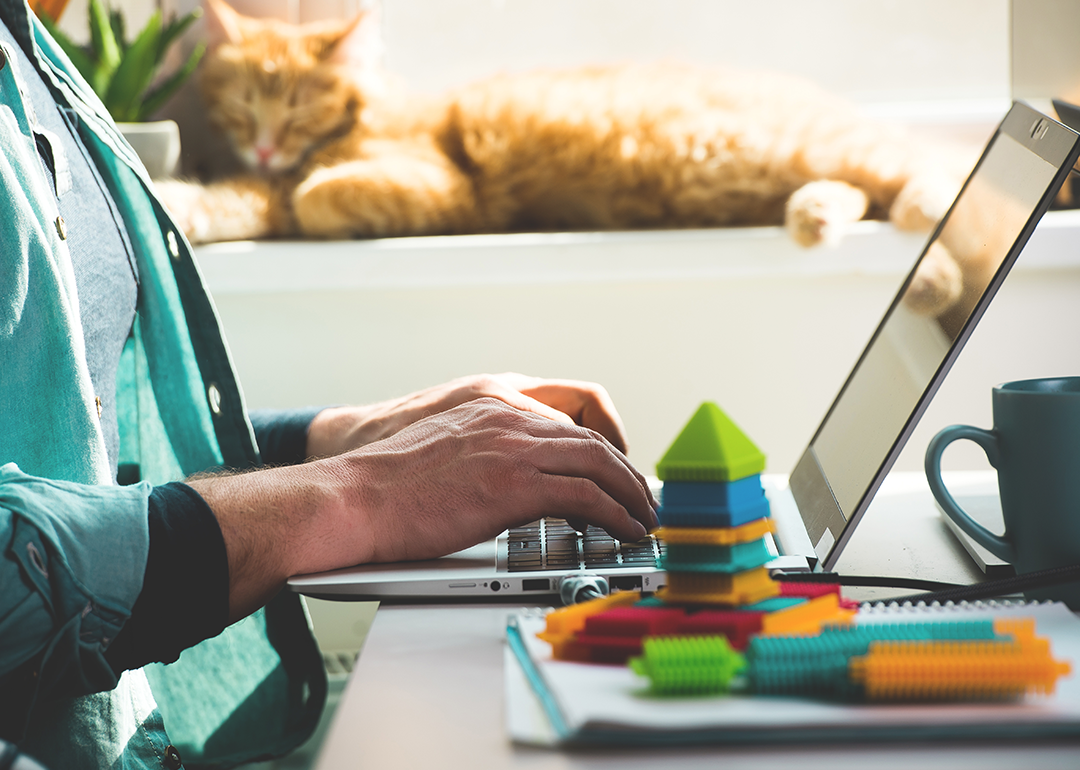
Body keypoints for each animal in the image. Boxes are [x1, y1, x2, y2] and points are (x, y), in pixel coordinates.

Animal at [157, 0, 972, 315]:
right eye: (242, 108)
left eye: (296, 108)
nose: (265, 144)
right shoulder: (260, 190)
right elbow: (223, 201)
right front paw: (177, 210)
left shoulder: (449, 189)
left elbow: (317, 197)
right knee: (865, 195)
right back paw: (829, 221)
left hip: (806, 144)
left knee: (930, 174)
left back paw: (924, 234)